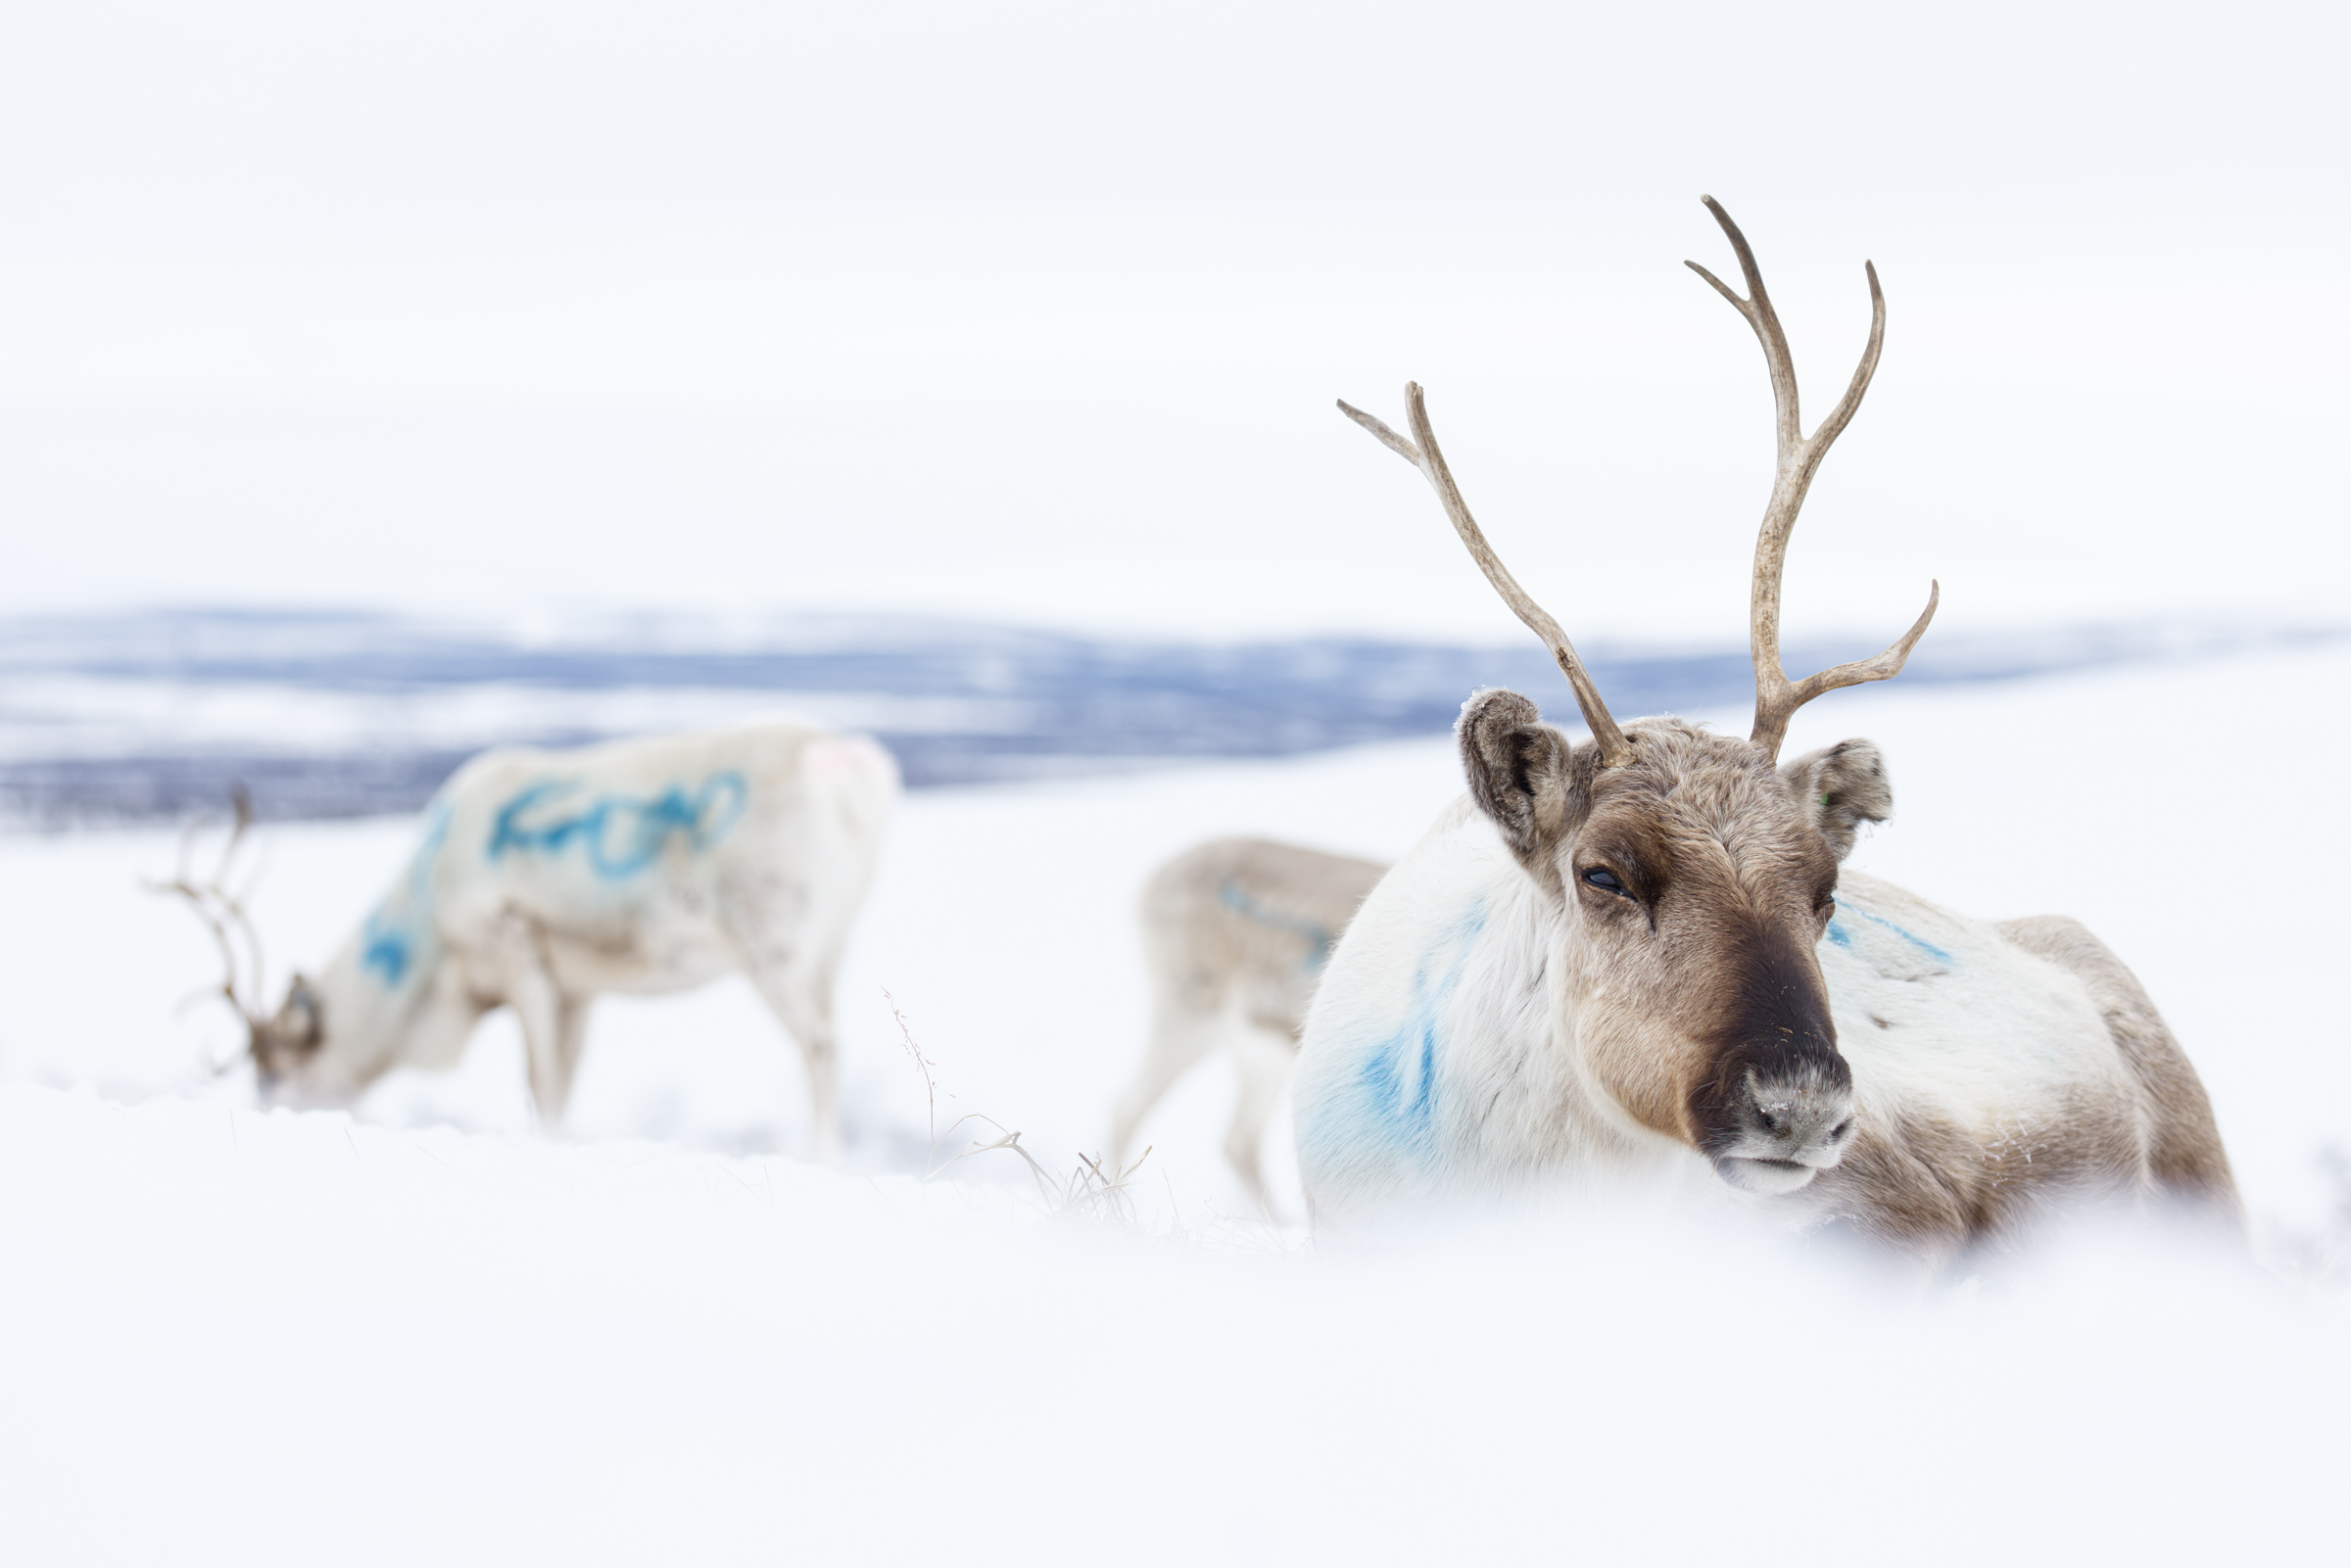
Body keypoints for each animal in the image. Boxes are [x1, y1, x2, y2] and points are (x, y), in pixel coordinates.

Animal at [162, 719, 897, 1157]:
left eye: (276, 1072)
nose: (262, 1118)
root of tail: (863, 771)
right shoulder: (579, 989)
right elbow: (564, 1082)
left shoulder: (515, 948)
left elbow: (540, 1083)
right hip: (830, 949)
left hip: (773, 944)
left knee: (820, 1047)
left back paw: (821, 1157)